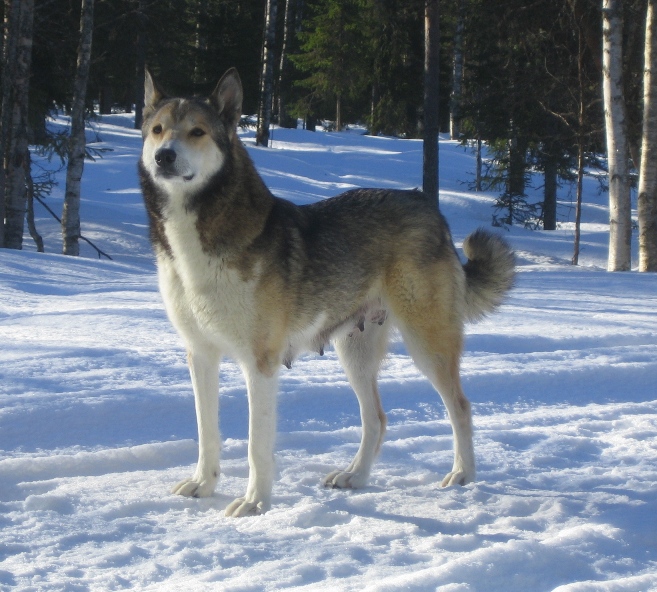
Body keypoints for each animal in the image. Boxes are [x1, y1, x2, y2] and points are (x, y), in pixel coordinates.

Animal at [138, 67, 516, 516]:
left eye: (196, 132)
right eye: (158, 130)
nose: (164, 156)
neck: (197, 241)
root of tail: (428, 206)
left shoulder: (259, 363)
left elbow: (256, 446)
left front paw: (254, 503)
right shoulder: (200, 355)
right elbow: (207, 433)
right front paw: (204, 485)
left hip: (428, 343)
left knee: (460, 407)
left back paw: (462, 476)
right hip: (355, 352)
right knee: (377, 419)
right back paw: (356, 476)